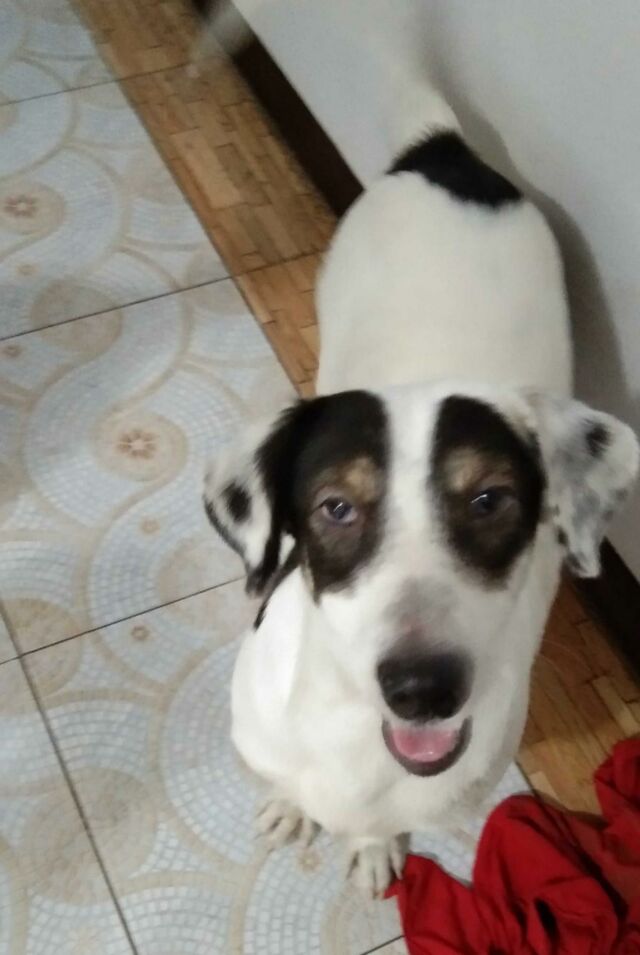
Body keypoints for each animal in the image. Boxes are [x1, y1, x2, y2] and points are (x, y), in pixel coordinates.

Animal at [204, 77, 639, 896]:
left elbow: (379, 822)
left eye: (490, 500)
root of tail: (450, 154)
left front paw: (373, 844)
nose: (422, 688)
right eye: (336, 507)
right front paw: (291, 805)